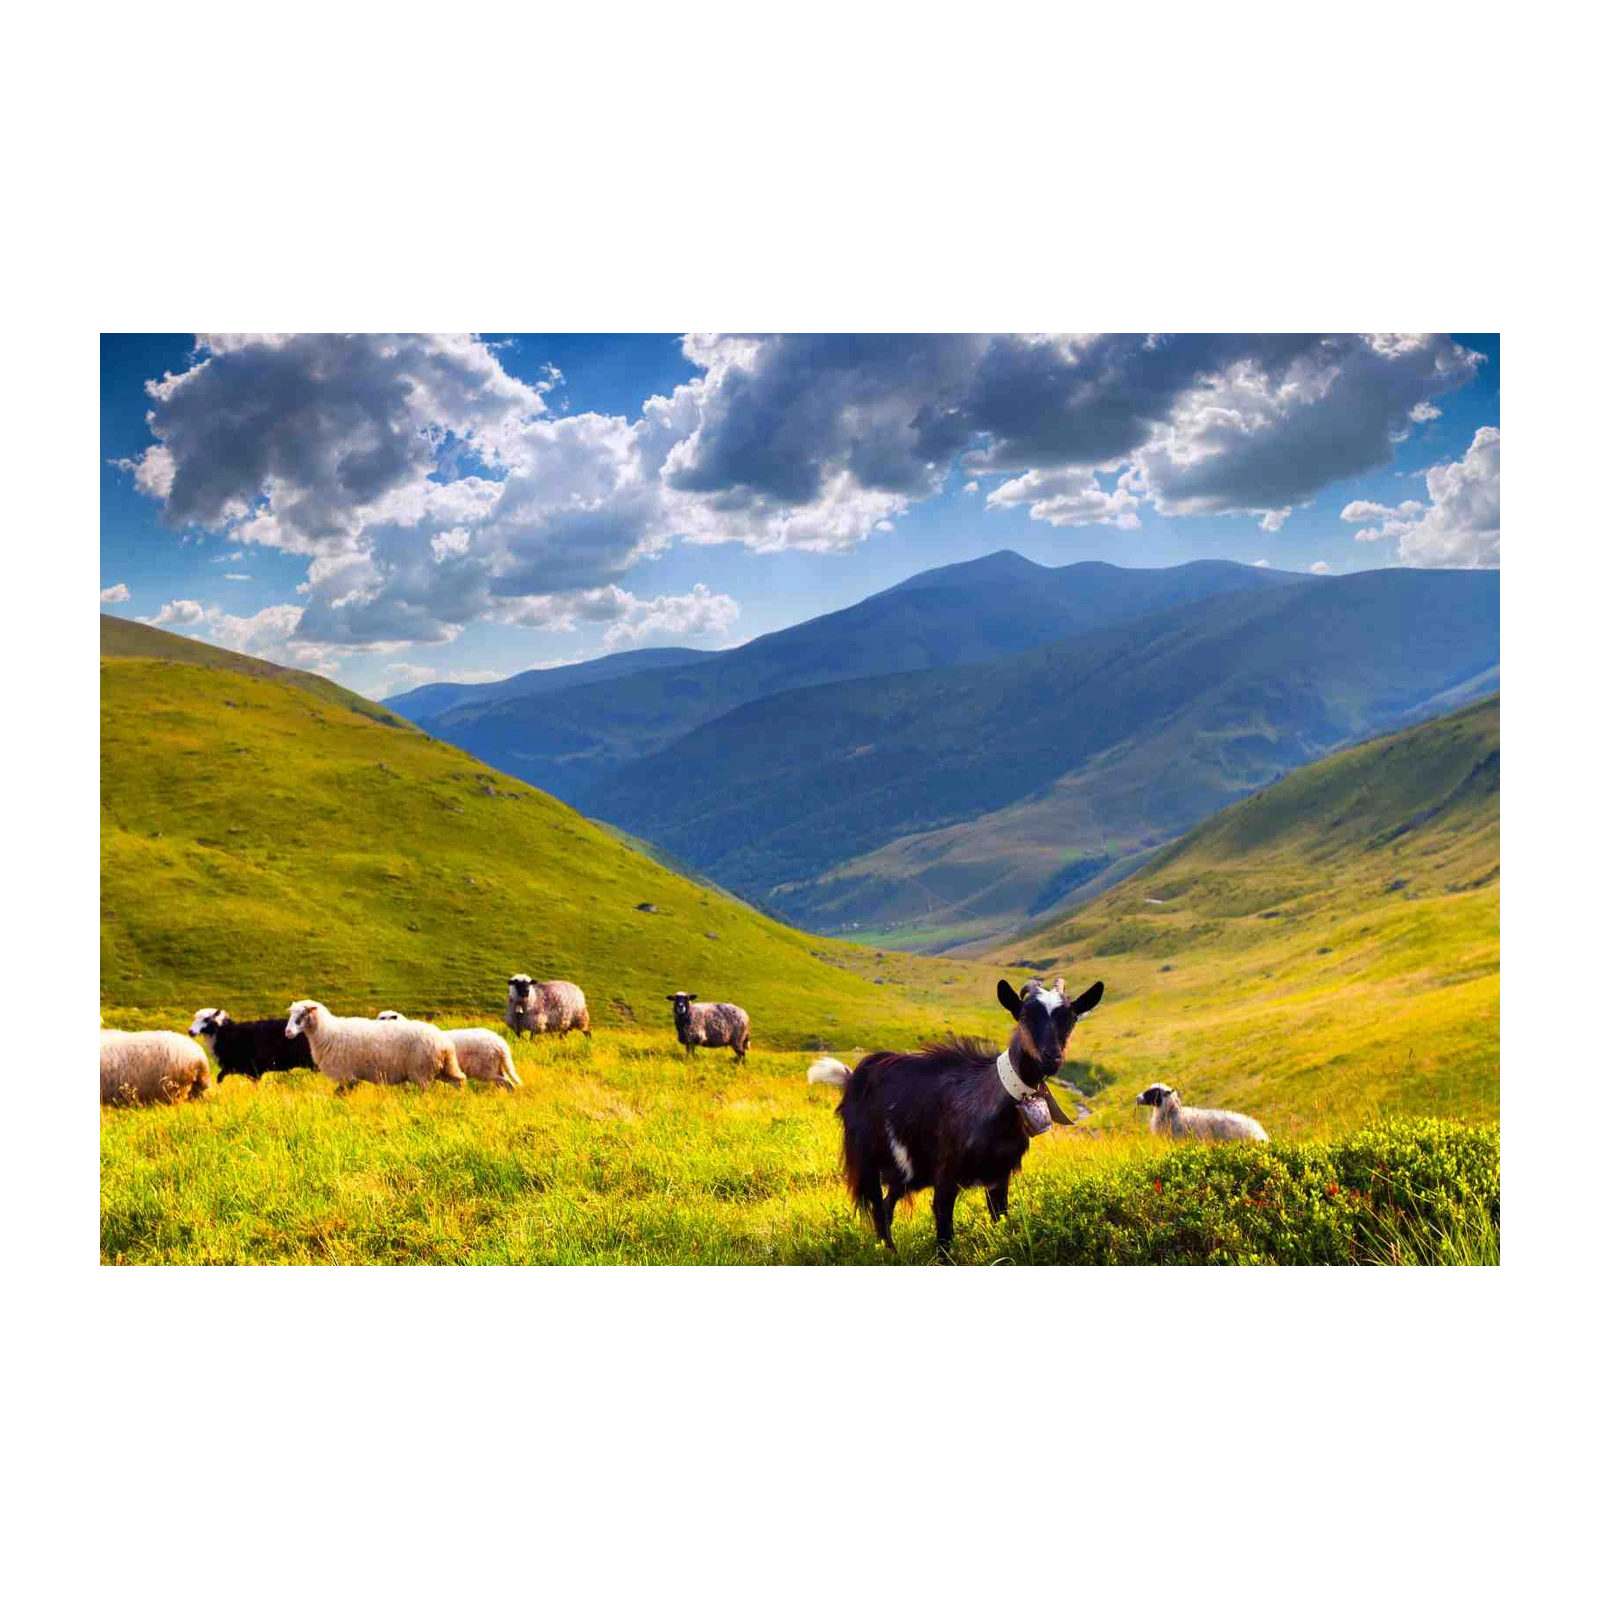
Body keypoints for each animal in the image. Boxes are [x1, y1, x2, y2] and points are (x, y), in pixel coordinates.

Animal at [284, 1000, 466, 1092]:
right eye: (291, 1013)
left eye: (303, 1014)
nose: (287, 1032)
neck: (327, 1033)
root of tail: (444, 1042)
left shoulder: (346, 1075)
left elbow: (341, 1094)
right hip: (444, 1067)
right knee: (460, 1080)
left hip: (422, 1071)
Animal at [377, 1011, 522, 1091]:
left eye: (383, 1018)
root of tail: (500, 1043)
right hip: (496, 1066)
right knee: (503, 1082)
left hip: (486, 1069)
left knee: (507, 1083)